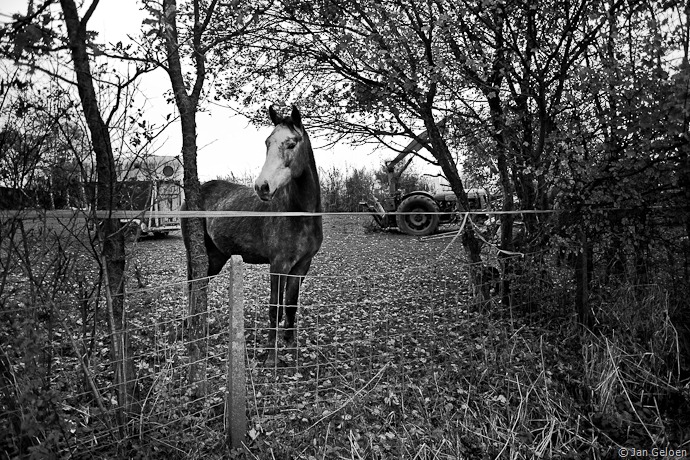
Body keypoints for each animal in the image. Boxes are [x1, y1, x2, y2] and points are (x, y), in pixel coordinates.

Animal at [183, 105, 322, 362]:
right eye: (267, 142)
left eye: (291, 144)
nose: (262, 187)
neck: (299, 215)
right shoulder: (278, 265)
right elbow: (275, 307)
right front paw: (270, 355)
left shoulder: (301, 266)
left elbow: (290, 305)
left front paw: (290, 347)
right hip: (197, 254)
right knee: (192, 285)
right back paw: (190, 326)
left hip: (216, 257)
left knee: (201, 285)